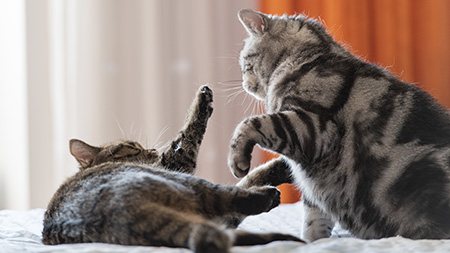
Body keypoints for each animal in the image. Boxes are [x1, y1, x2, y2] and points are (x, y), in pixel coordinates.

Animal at [42, 85, 302, 253]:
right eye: (132, 147)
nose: (151, 150)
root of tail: (115, 216)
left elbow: (251, 177)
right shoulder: (175, 162)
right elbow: (188, 134)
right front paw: (202, 98)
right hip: (185, 183)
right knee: (232, 198)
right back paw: (271, 197)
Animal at [230, 9, 450, 241]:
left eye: (245, 63)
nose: (244, 84)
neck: (308, 57)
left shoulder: (312, 126)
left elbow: (250, 124)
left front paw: (237, 161)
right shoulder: (316, 183)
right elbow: (314, 216)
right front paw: (313, 241)